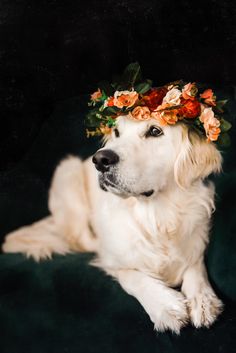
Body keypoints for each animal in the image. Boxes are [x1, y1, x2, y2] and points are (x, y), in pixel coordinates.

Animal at [2, 116, 223, 332]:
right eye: (117, 132)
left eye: (155, 131)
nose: (101, 160)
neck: (156, 218)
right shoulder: (114, 260)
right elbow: (133, 276)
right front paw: (165, 305)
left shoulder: (195, 240)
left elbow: (196, 266)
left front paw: (203, 301)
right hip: (68, 172)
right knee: (80, 240)